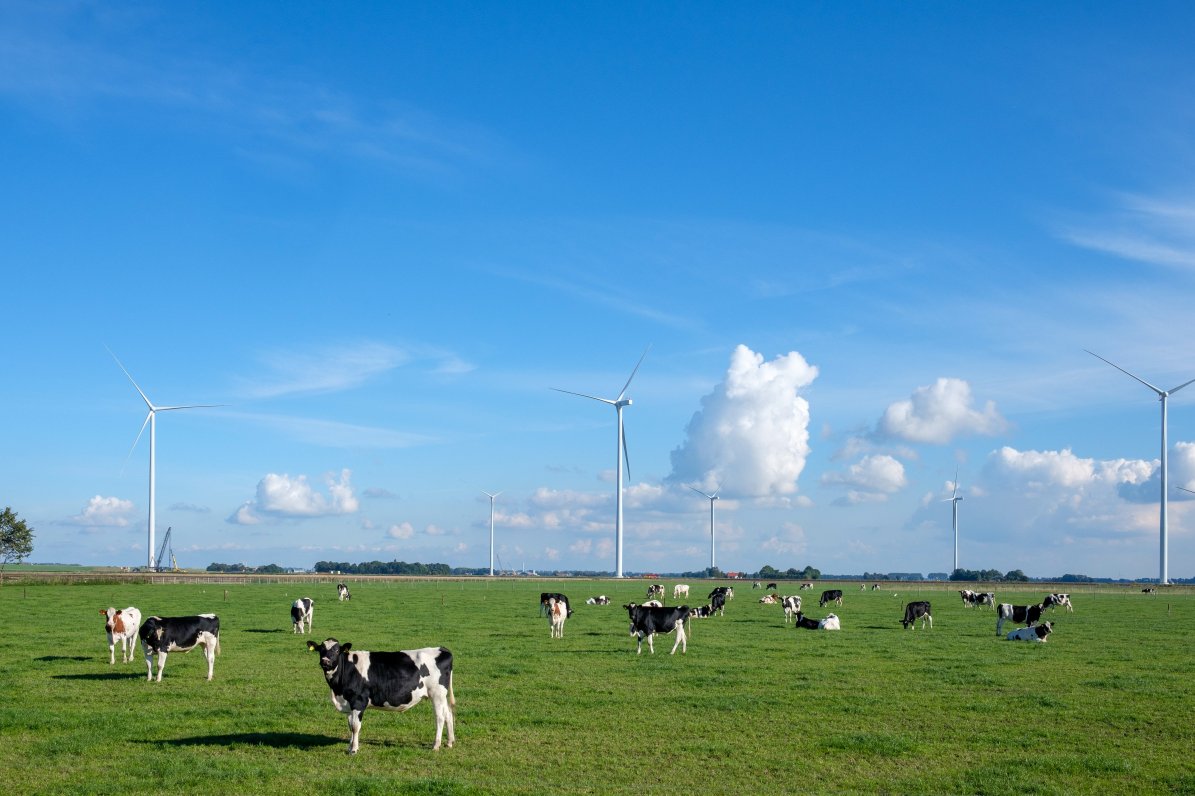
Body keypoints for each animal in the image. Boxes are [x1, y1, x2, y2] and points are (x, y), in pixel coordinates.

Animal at [305, 635, 454, 755]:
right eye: (321, 650)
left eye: (336, 650)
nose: (325, 661)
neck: (337, 690)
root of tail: (442, 649)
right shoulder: (348, 702)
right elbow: (350, 725)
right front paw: (350, 747)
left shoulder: (358, 701)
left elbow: (355, 726)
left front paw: (354, 750)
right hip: (442, 696)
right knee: (448, 714)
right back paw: (449, 742)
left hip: (437, 694)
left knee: (440, 717)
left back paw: (436, 745)